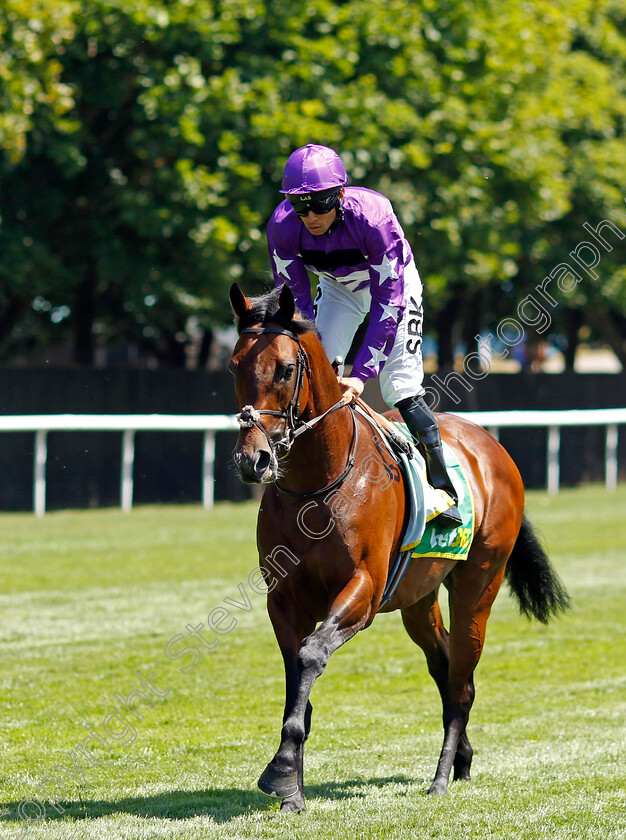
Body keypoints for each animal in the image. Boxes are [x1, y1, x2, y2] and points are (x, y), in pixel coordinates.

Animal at [229, 284, 572, 812]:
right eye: (233, 366)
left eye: (285, 369)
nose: (254, 459)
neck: (318, 485)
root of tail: (492, 446)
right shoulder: (283, 598)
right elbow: (295, 679)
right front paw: (293, 791)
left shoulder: (364, 590)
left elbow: (310, 655)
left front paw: (281, 771)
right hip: (419, 597)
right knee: (445, 665)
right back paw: (462, 759)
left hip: (479, 584)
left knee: (463, 681)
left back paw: (442, 777)